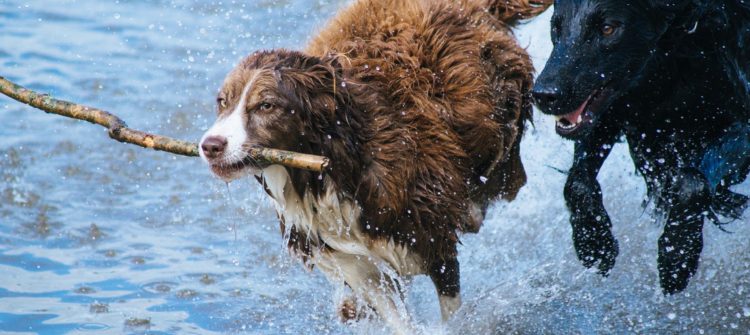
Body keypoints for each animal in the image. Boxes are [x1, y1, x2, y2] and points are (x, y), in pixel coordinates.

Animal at [200, 0, 552, 332]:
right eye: (222, 102)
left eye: (266, 105)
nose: (210, 146)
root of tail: (476, 6)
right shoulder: (352, 258)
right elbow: (391, 310)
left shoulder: (433, 236)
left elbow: (450, 308)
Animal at [536, 0, 750, 294]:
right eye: (556, 26)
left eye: (608, 28)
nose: (543, 95)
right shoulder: (612, 111)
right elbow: (577, 182)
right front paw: (594, 244)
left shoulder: (742, 123)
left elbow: (693, 182)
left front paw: (677, 256)